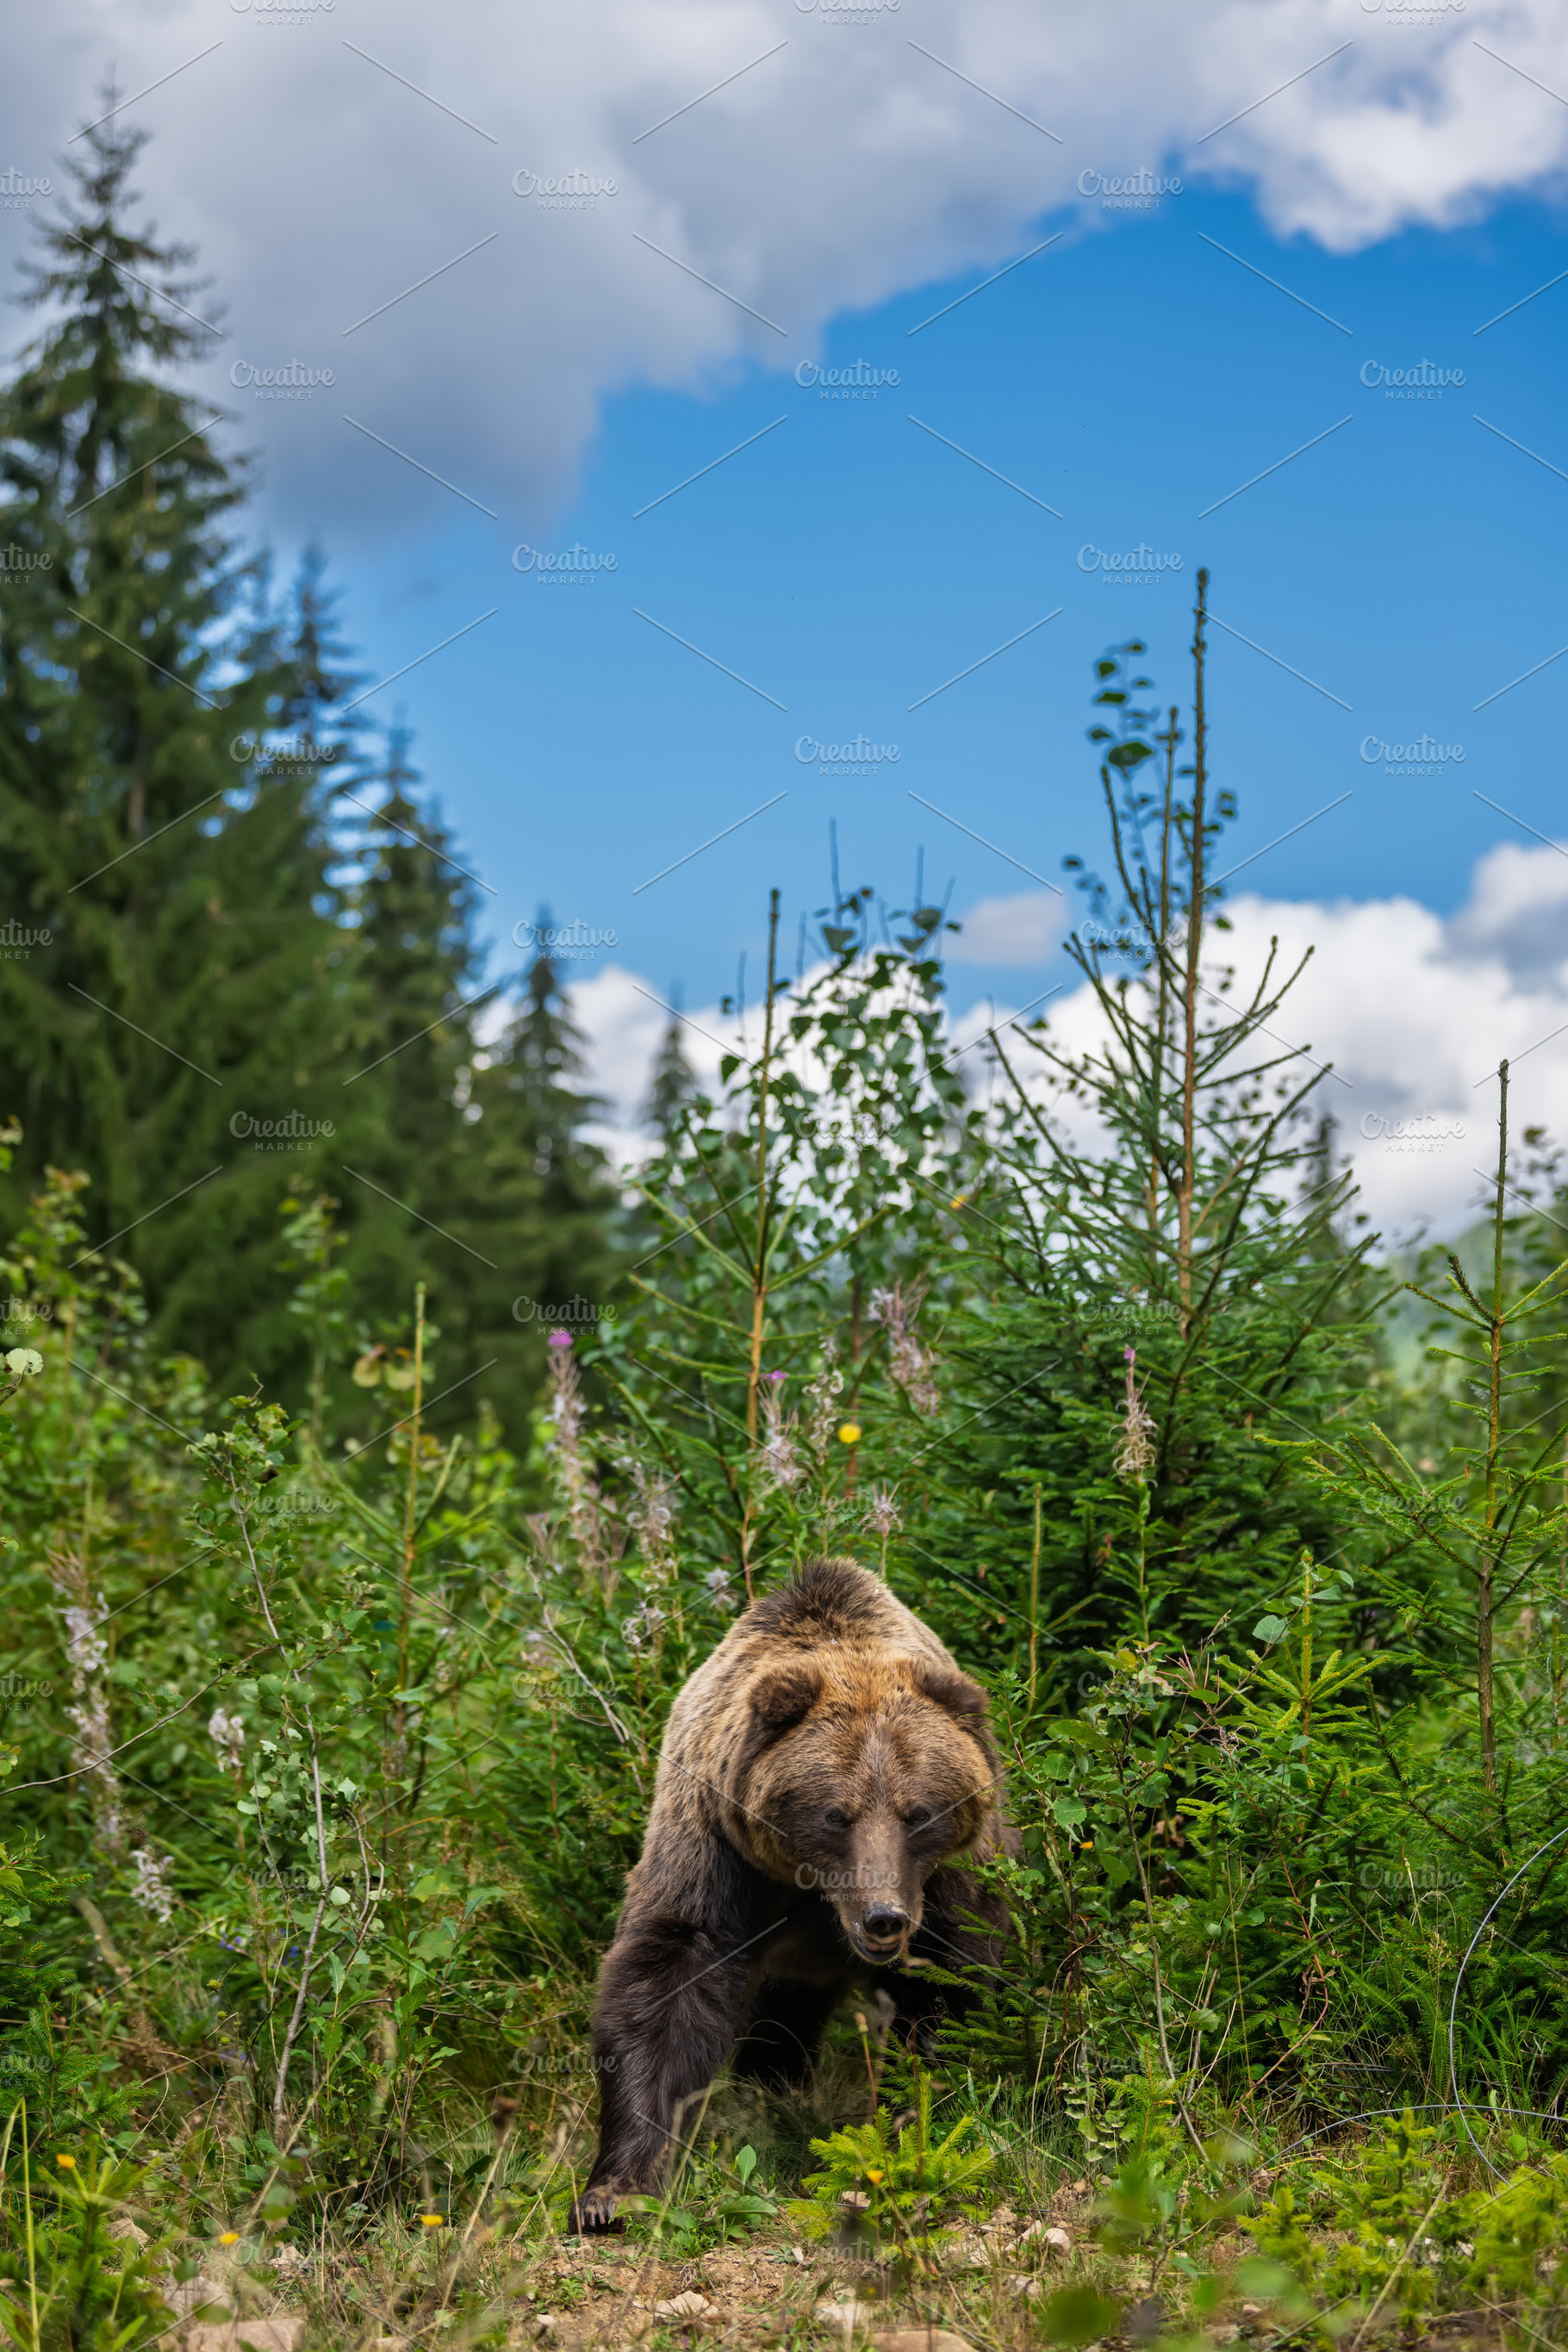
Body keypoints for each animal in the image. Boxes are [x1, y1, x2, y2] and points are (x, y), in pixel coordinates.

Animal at [567, 1554, 1011, 2233]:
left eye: (919, 1813)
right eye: (836, 1814)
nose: (884, 1918)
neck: (813, 1889)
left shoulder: (946, 1879)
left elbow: (949, 1982)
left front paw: (912, 2119)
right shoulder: (716, 1846)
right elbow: (668, 1980)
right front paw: (615, 2190)